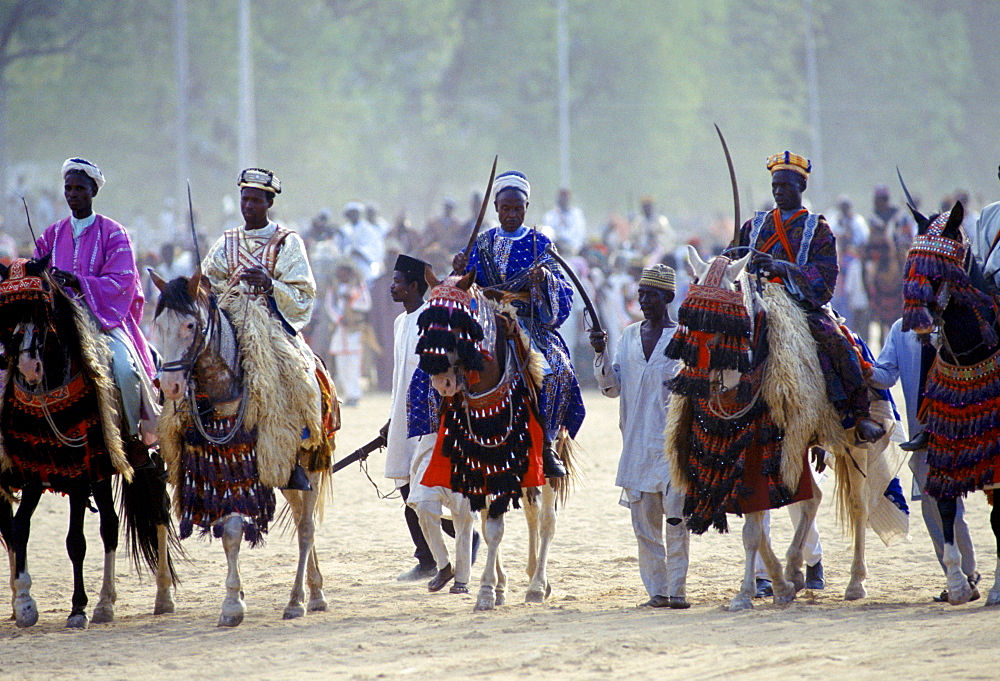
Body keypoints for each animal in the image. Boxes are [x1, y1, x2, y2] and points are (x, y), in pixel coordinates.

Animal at [0, 255, 176, 628]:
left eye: (44, 308)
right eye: (9, 313)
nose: (28, 367)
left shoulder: (81, 471)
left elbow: (75, 541)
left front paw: (78, 607)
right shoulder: (38, 467)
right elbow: (19, 529)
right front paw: (24, 602)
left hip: (146, 457)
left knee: (154, 514)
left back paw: (157, 597)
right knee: (110, 524)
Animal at [152, 268, 340, 624]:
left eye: (191, 325)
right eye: (158, 326)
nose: (169, 385)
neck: (226, 388)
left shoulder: (248, 469)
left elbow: (234, 530)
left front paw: (233, 603)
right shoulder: (221, 469)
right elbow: (229, 532)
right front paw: (234, 599)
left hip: (305, 460)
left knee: (306, 529)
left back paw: (299, 599)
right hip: (287, 472)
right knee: (300, 519)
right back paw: (315, 590)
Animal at [410, 270, 576, 612]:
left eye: (459, 323)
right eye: (427, 322)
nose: (442, 381)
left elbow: (497, 528)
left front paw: (486, 591)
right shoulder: (481, 464)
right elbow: (489, 527)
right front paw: (496, 587)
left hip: (550, 454)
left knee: (547, 520)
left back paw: (538, 585)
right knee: (530, 511)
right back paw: (530, 574)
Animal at [664, 244, 908, 612]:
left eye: (731, 291)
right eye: (693, 287)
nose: (699, 359)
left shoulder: (764, 449)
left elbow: (754, 531)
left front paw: (755, 591)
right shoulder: (743, 454)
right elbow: (757, 527)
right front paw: (773, 584)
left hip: (855, 442)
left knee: (858, 505)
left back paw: (855, 582)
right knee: (813, 499)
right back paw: (794, 569)